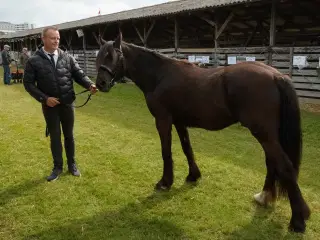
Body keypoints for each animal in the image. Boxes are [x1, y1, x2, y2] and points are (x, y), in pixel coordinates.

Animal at [94, 33, 310, 232]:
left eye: (112, 56)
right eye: (99, 56)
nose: (101, 84)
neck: (160, 76)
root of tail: (275, 75)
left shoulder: (163, 120)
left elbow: (166, 152)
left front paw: (165, 182)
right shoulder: (179, 122)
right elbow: (186, 148)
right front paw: (193, 176)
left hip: (263, 133)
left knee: (284, 167)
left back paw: (298, 220)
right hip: (269, 135)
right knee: (272, 163)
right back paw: (265, 197)